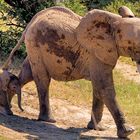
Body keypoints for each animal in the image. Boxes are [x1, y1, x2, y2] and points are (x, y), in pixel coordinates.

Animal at [3, 6, 139, 137]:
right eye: (134, 45)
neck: (116, 21)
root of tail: (32, 20)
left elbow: (98, 87)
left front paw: (97, 128)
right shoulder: (96, 53)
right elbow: (103, 87)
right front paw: (128, 132)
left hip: (34, 47)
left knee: (27, 75)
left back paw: (7, 108)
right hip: (35, 43)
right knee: (43, 79)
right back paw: (48, 120)